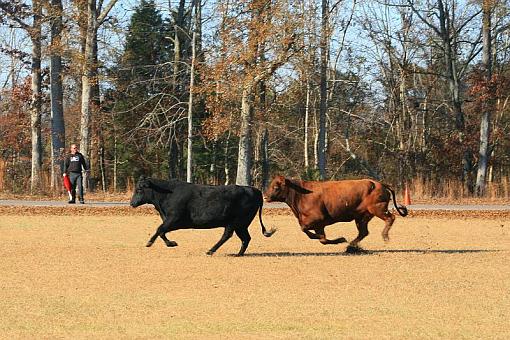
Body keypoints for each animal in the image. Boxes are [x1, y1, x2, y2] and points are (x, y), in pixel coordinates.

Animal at [129, 178, 276, 255]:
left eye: (139, 189)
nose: (131, 203)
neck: (167, 194)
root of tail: (254, 190)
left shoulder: (174, 219)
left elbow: (159, 229)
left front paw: (152, 243)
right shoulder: (170, 221)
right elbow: (161, 231)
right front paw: (170, 243)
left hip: (236, 222)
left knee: (228, 235)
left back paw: (211, 251)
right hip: (241, 225)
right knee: (245, 238)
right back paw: (238, 254)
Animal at [264, 177, 408, 251]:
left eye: (276, 187)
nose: (265, 197)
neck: (301, 195)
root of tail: (379, 184)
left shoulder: (317, 219)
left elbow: (305, 229)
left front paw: (340, 239)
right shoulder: (319, 225)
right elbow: (321, 239)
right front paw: (340, 239)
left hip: (378, 208)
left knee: (390, 218)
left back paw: (385, 236)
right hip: (362, 216)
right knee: (363, 232)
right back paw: (351, 245)